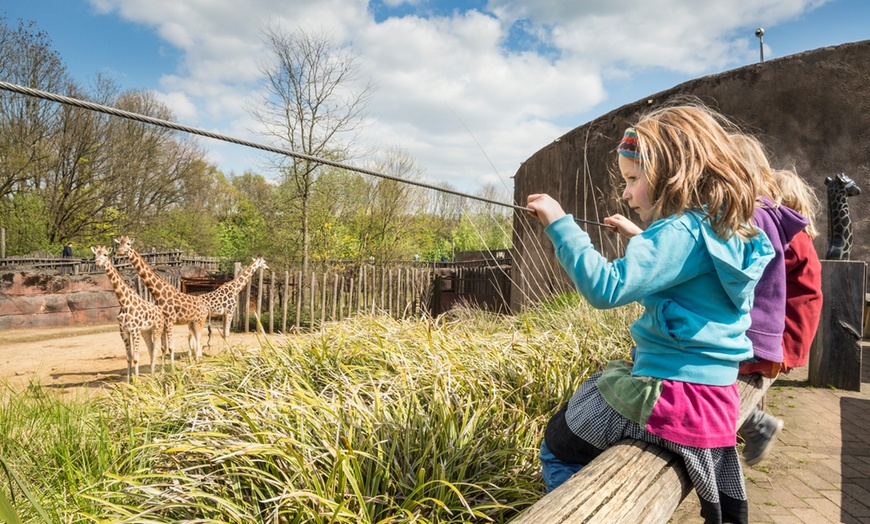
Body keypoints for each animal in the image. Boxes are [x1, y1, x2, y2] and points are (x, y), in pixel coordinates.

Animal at [92, 244, 169, 382]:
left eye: (105, 254)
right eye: (95, 255)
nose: (97, 263)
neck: (124, 303)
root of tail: (160, 312)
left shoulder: (135, 330)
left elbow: (136, 358)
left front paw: (137, 382)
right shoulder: (124, 332)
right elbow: (129, 358)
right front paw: (129, 382)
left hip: (157, 329)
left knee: (156, 350)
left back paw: (155, 376)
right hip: (146, 331)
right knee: (151, 349)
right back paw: (152, 374)